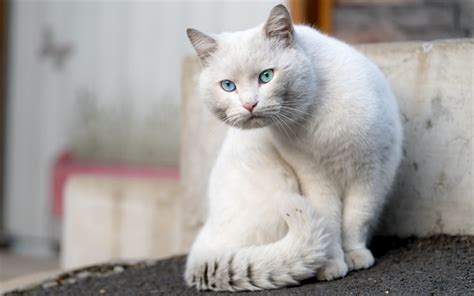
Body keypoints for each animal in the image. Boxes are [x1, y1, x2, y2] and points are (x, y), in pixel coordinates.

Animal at [183, 4, 402, 292]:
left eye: (267, 76)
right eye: (228, 86)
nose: (249, 105)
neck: (312, 114)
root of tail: (200, 251)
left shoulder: (371, 171)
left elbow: (357, 218)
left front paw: (355, 255)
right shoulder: (313, 178)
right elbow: (329, 223)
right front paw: (331, 265)